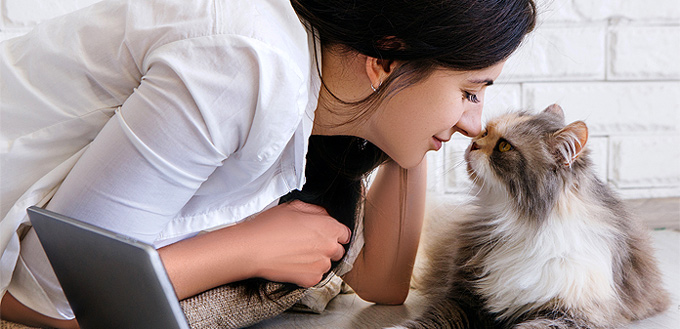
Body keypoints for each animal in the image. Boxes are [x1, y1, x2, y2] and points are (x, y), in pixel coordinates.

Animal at [394, 105, 668, 328]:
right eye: (484, 132)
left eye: (504, 146)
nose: (472, 144)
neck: (520, 223)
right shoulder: (465, 297)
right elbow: (431, 320)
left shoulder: (571, 314)